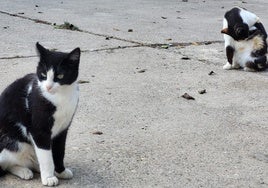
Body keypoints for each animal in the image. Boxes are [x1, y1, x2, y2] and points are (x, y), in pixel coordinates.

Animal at [0, 43, 80, 187]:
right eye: (43, 74)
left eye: (60, 76)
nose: (48, 87)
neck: (60, 98)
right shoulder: (39, 130)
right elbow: (46, 156)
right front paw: (48, 177)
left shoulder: (63, 128)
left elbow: (59, 150)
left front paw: (60, 171)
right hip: (14, 142)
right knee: (7, 163)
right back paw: (24, 171)